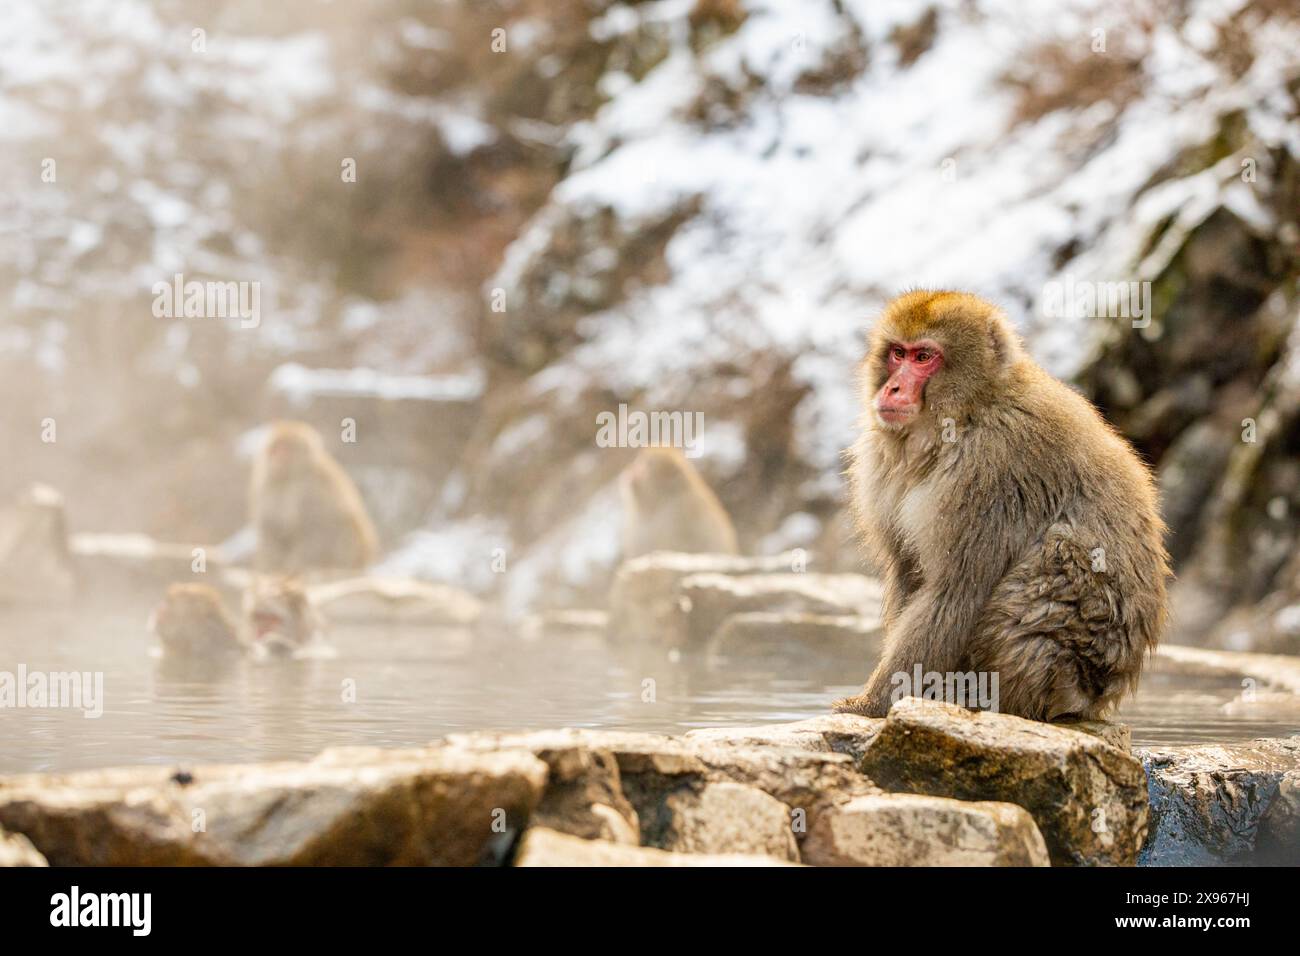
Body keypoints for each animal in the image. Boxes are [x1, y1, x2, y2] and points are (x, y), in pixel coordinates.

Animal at [249, 421, 379, 572]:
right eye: (275, 448)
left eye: (286, 448)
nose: (277, 456)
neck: (288, 479)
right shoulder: (264, 486)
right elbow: (270, 529)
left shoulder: (311, 490)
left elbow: (315, 526)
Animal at [837, 287, 1175, 723]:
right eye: (898, 353)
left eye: (924, 357)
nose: (892, 389)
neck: (967, 414)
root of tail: (1099, 695)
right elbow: (909, 573)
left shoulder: (990, 469)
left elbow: (955, 590)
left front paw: (872, 705)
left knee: (1058, 551)